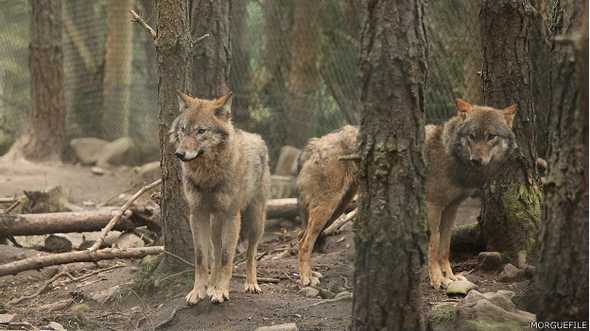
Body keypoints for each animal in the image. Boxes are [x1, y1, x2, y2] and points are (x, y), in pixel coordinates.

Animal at [170, 91, 272, 306]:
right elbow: (202, 257)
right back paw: (211, 286)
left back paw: (251, 284)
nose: (179, 154)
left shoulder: (232, 216)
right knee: (215, 253)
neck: (207, 175)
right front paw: (199, 291)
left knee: (251, 252)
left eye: (201, 131)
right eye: (183, 130)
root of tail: (257, 137)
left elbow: (227, 257)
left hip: (255, 220)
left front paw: (221, 292)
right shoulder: (197, 214)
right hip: (215, 223)